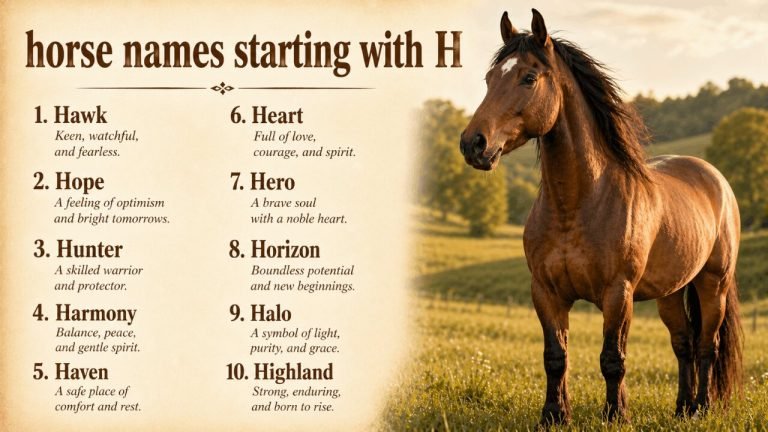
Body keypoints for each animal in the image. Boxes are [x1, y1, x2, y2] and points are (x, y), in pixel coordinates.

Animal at [459, 9, 743, 425]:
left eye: (528, 77)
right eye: (489, 79)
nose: (473, 144)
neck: (577, 205)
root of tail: (715, 178)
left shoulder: (617, 293)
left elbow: (613, 358)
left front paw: (616, 414)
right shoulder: (546, 292)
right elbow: (555, 357)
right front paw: (554, 415)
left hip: (713, 283)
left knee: (708, 344)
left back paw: (701, 409)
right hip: (671, 293)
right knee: (684, 344)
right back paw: (681, 409)